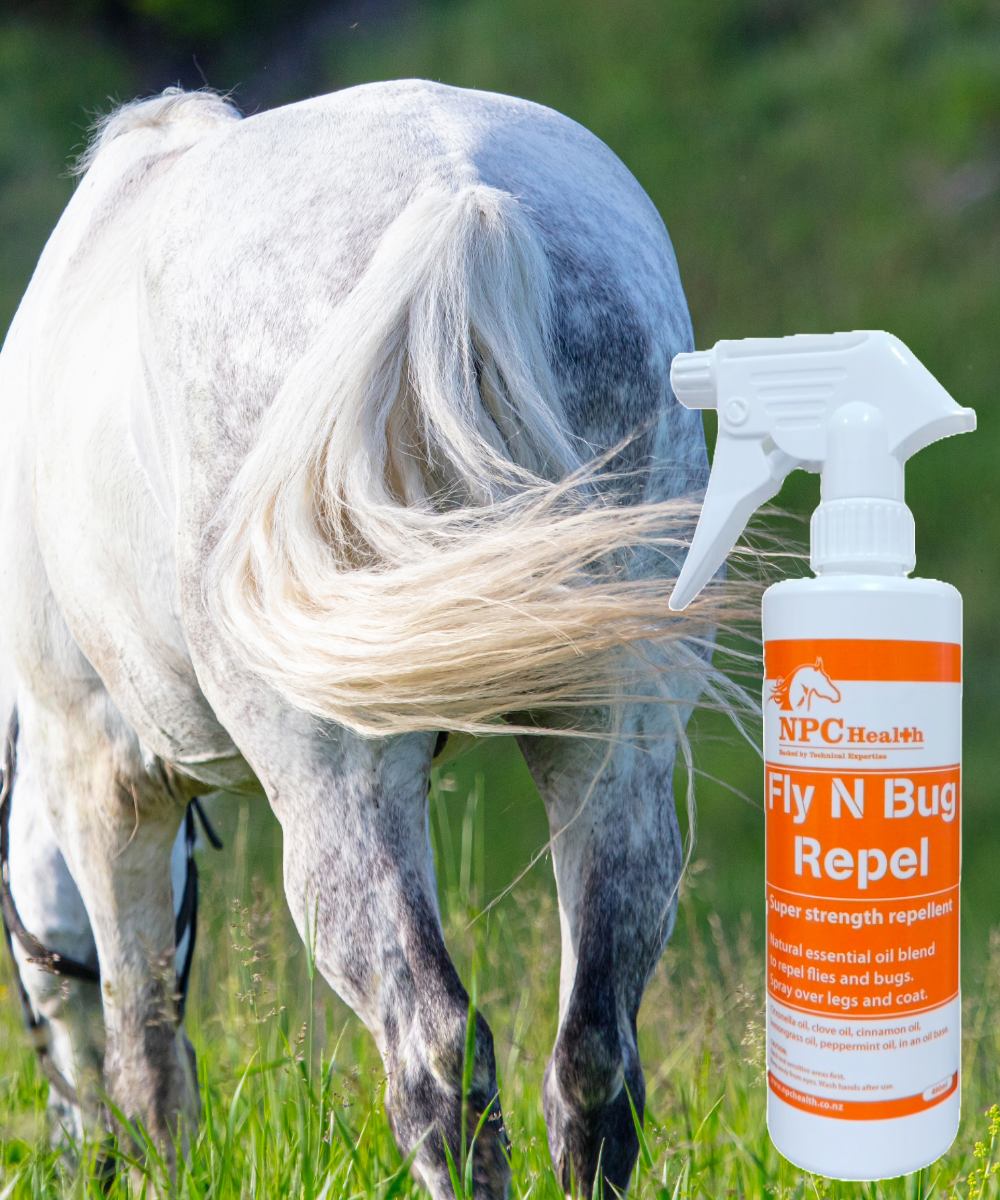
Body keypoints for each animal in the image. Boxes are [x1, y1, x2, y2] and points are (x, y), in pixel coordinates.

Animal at [0, 81, 730, 1197]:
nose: (74, 1157)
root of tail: (458, 201)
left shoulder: (103, 781)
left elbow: (144, 1057)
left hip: (332, 775)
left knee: (433, 1052)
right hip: (613, 739)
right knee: (595, 1056)